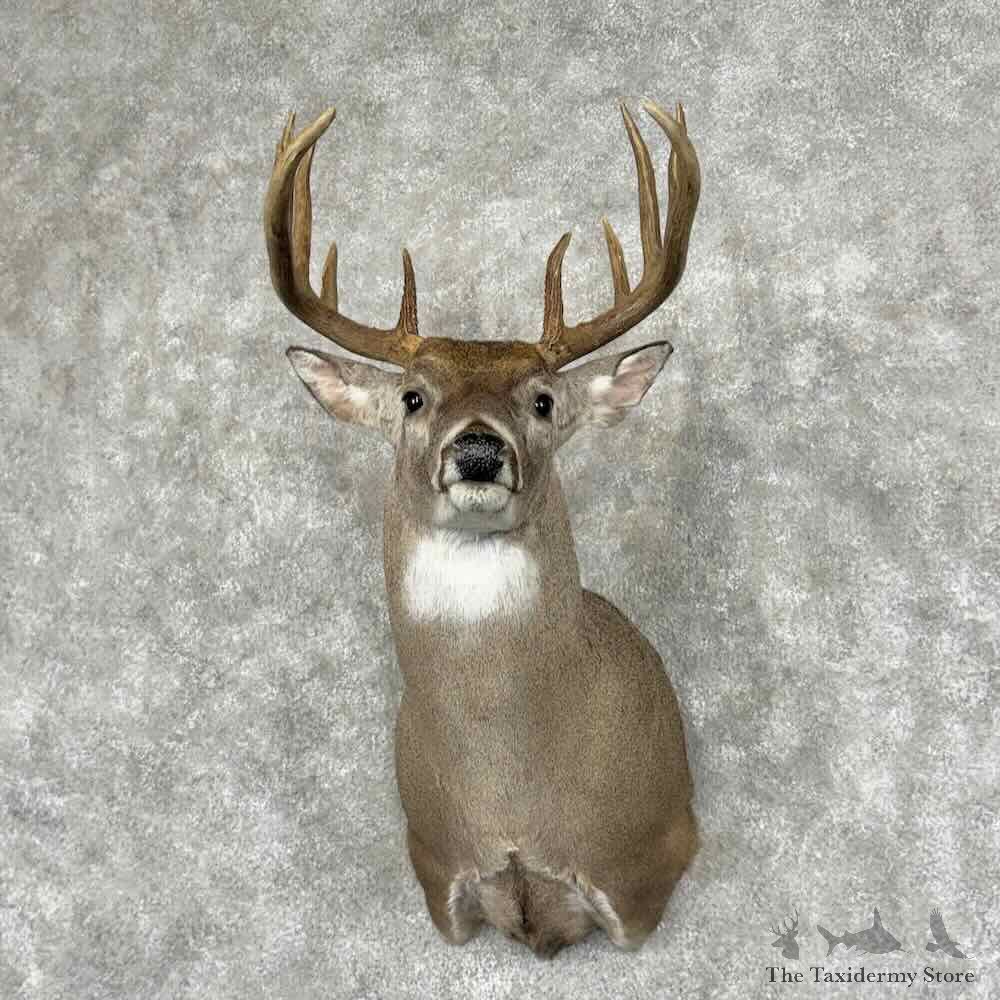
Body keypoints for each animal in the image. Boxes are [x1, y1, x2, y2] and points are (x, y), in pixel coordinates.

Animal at [263, 95, 701, 958]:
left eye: (543, 399)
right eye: (412, 396)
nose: (476, 450)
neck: (510, 799)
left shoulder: (647, 862)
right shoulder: (436, 872)